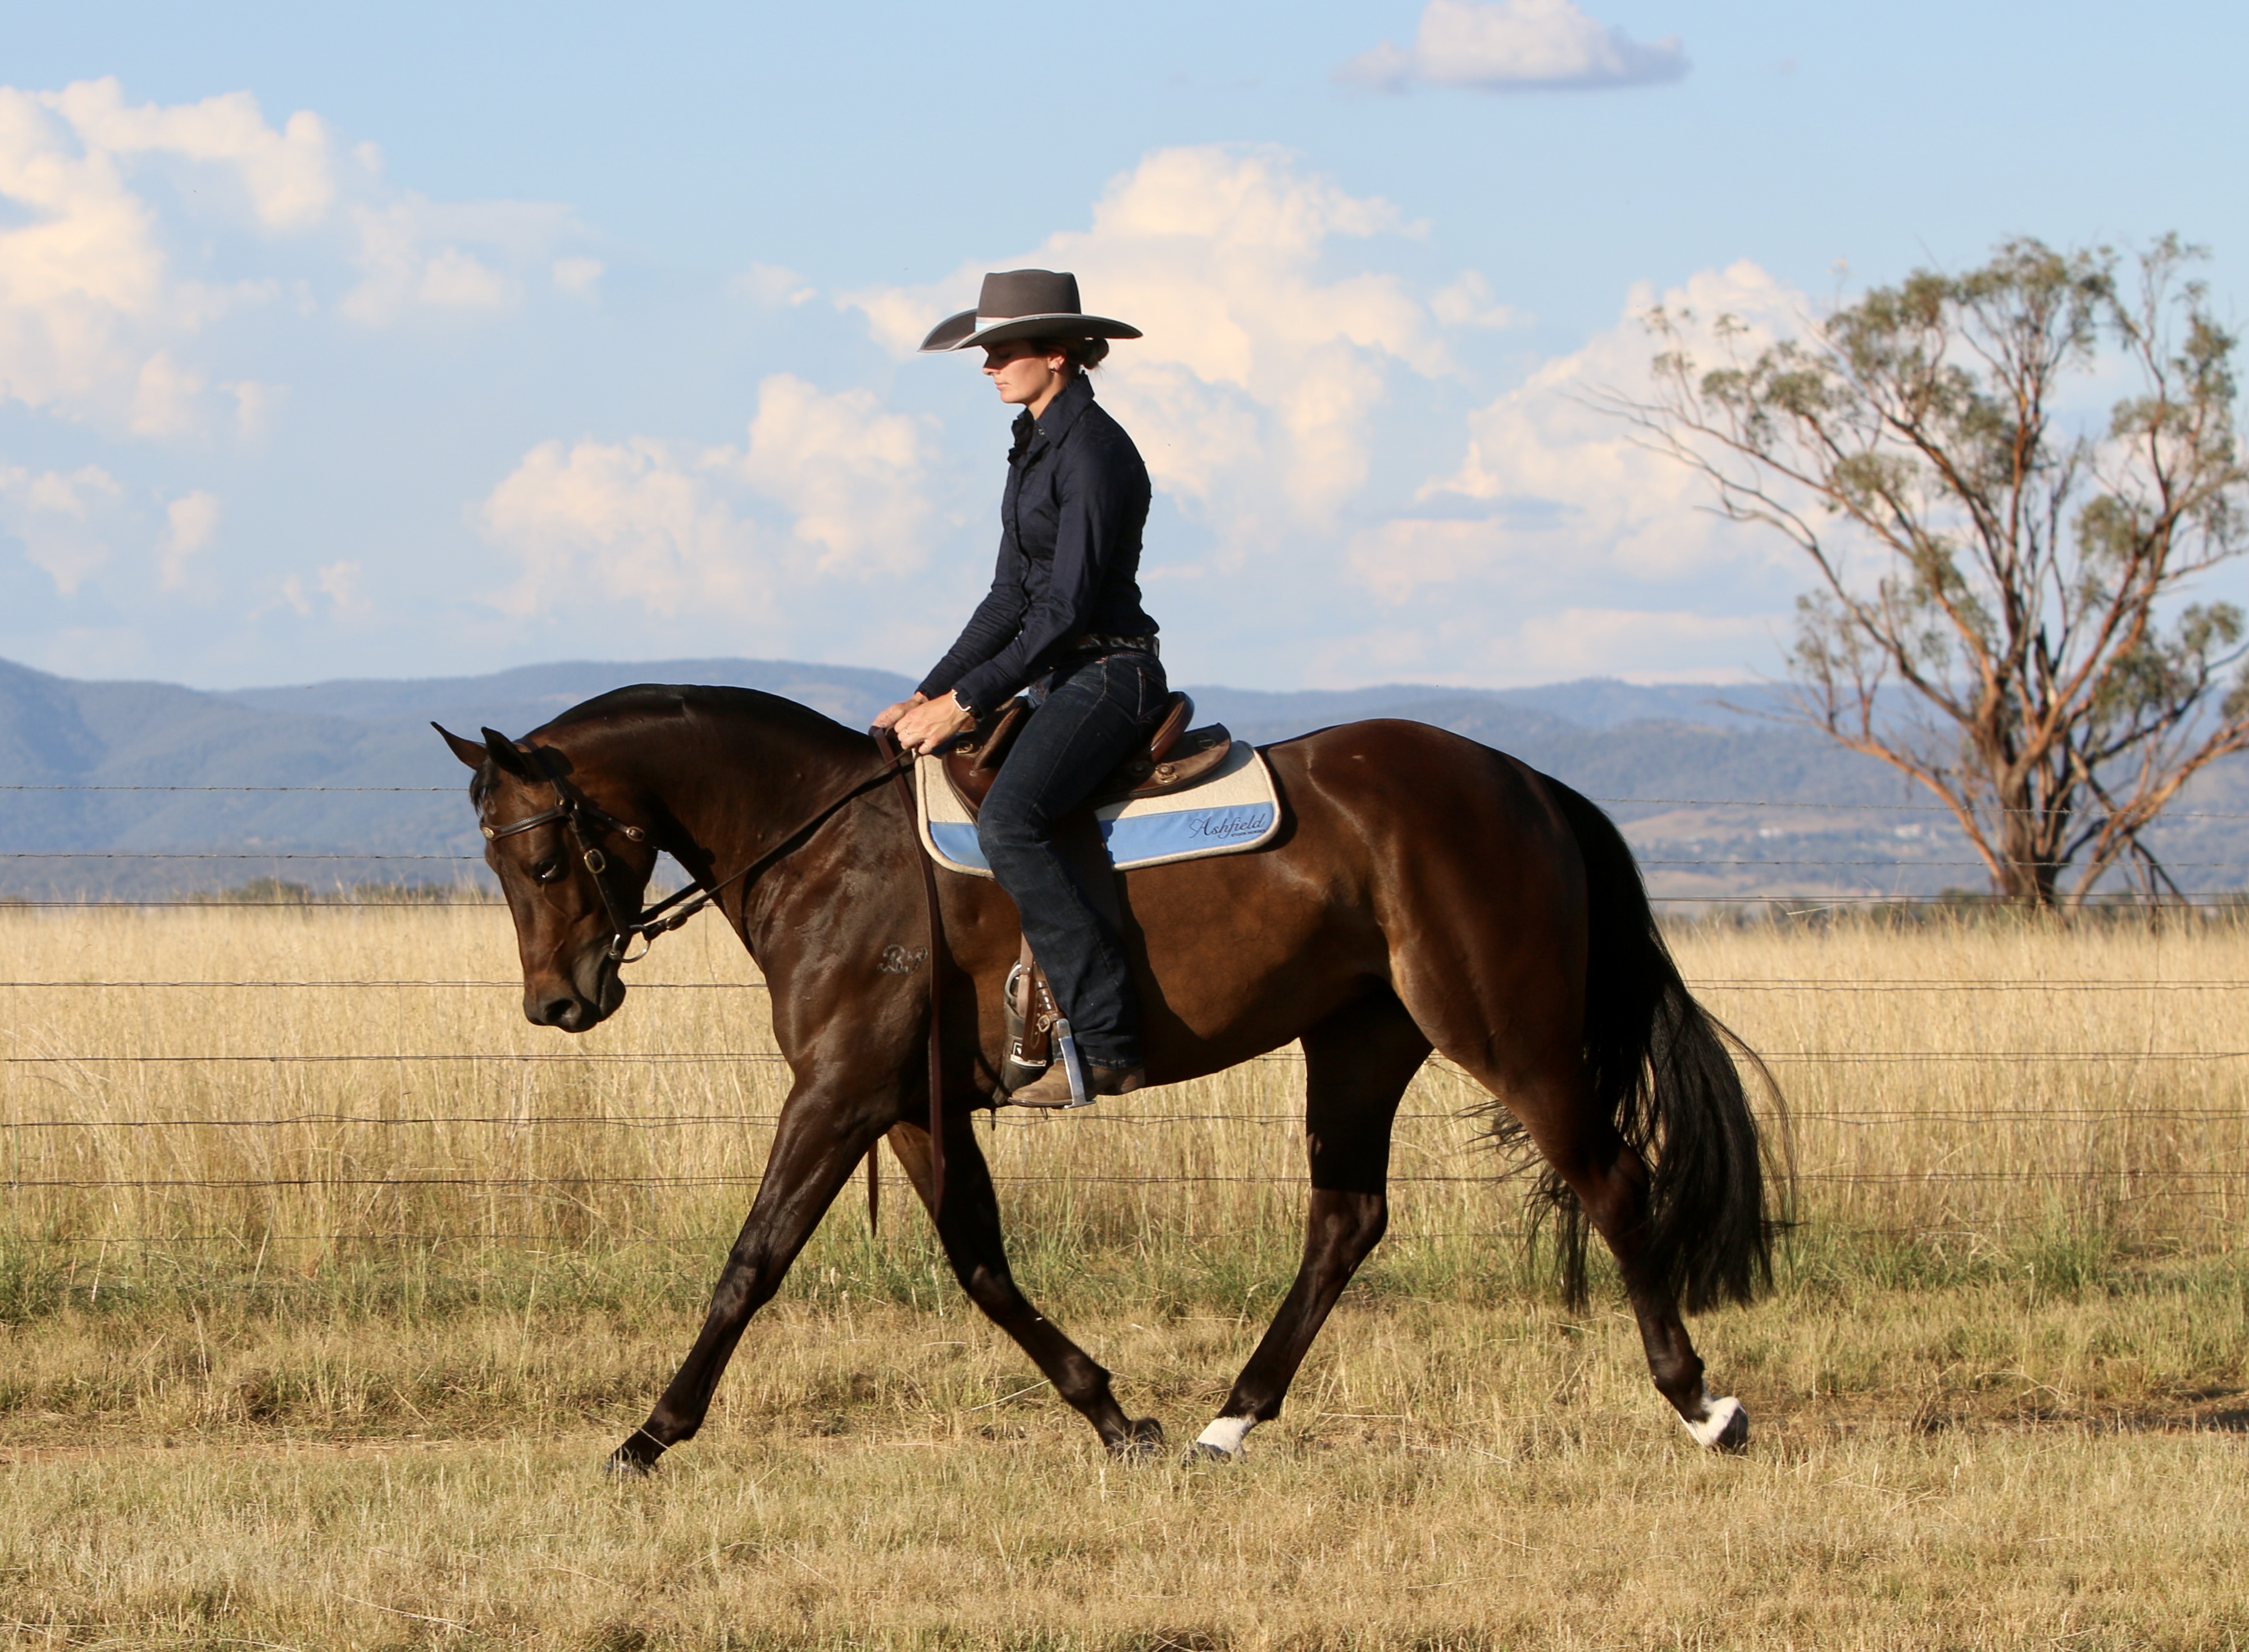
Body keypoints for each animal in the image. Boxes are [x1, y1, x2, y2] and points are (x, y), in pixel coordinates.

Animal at [435, 684, 1778, 1472]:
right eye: (495, 861)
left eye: (544, 858)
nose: (559, 1004)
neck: (824, 845)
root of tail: (1521, 782)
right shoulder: (910, 1107)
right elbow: (982, 1263)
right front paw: (1112, 1412)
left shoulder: (838, 1093)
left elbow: (752, 1261)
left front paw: (650, 1434)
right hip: (1359, 1040)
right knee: (1346, 1221)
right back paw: (1227, 1419)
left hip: (1505, 1033)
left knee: (1611, 1182)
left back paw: (1702, 1405)